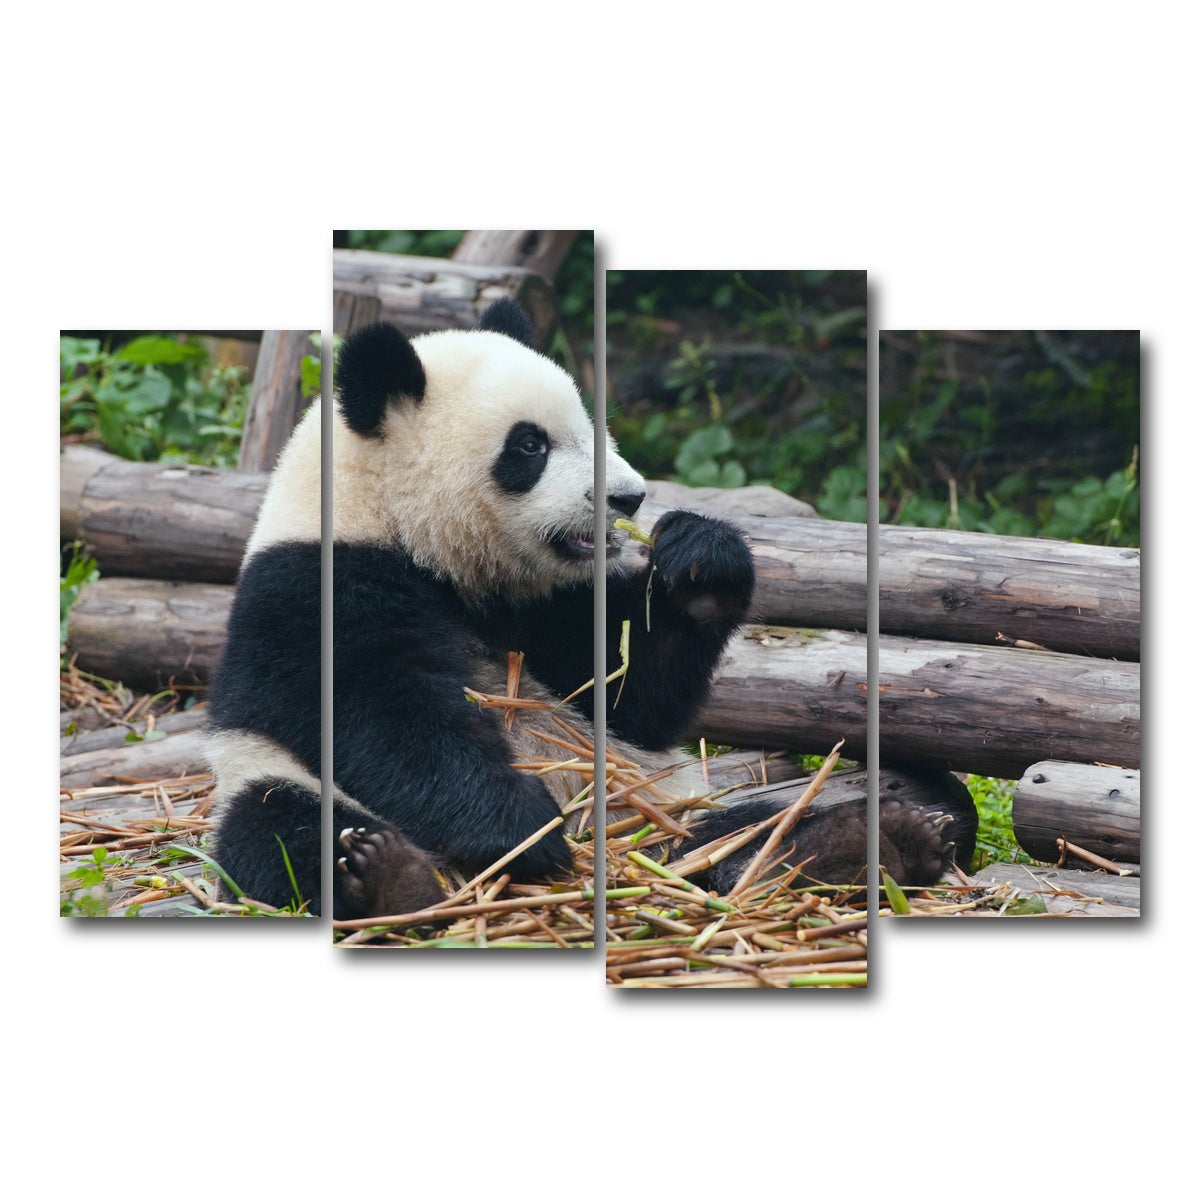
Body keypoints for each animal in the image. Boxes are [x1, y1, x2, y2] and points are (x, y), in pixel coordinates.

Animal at [205, 298, 759, 919]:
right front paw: (522, 826)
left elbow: (631, 696)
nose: (629, 497)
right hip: (263, 773)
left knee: (737, 825)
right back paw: (387, 876)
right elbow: (378, 716)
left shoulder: (542, 601)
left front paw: (702, 565)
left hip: (668, 798)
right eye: (530, 445)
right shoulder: (312, 588)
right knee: (280, 827)